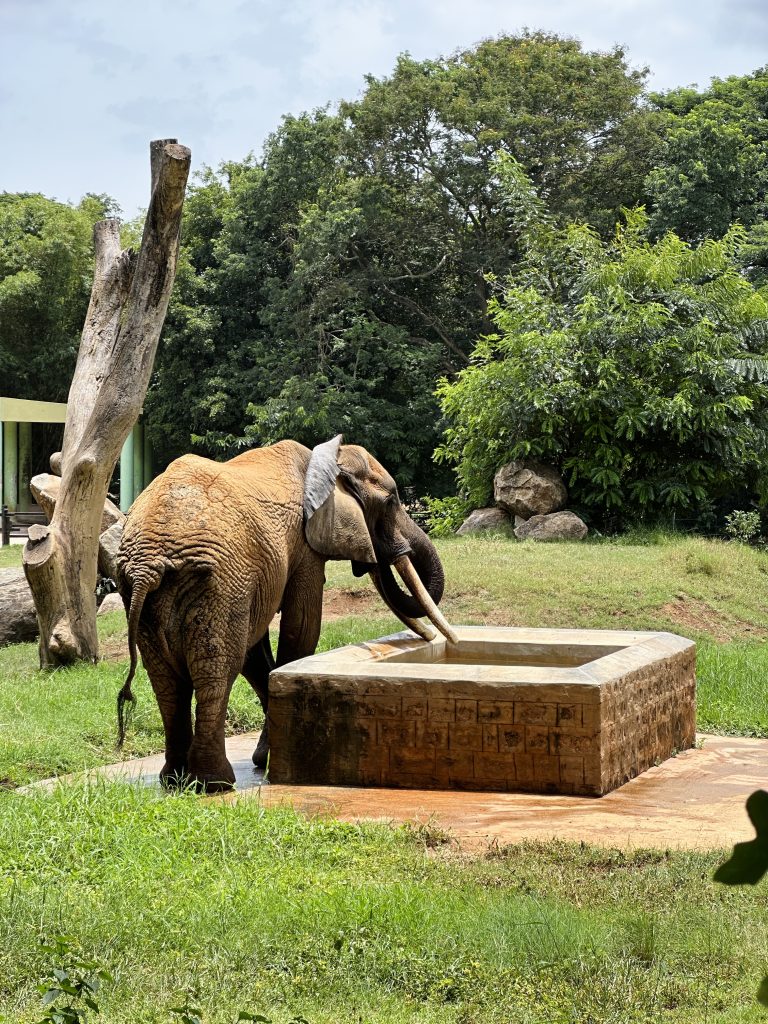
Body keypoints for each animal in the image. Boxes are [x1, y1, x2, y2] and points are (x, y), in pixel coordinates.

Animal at [112, 434, 450, 790]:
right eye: (390, 501)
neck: (326, 459)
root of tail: (147, 565)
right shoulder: (302, 549)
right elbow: (300, 629)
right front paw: (269, 757)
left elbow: (256, 647)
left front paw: (264, 757)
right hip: (216, 582)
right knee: (216, 669)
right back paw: (215, 784)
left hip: (147, 593)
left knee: (167, 679)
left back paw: (176, 781)